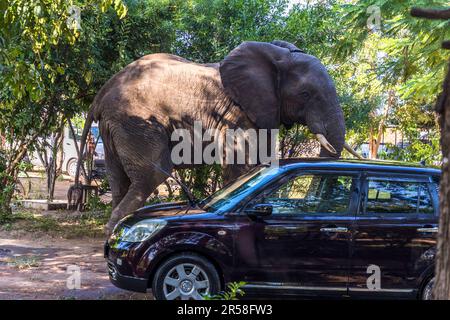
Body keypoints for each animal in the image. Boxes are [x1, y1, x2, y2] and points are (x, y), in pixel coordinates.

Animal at [75, 40, 360, 235]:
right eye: (305, 94)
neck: (277, 56)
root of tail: (101, 94)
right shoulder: (237, 114)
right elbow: (241, 165)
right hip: (135, 122)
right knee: (150, 176)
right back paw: (114, 232)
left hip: (114, 128)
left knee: (118, 179)